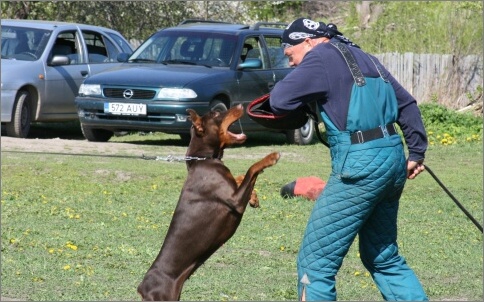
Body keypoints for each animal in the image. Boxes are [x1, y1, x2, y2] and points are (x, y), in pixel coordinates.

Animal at [136, 103, 280, 300]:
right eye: (217, 114)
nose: (240, 105)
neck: (203, 160)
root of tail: (142, 288)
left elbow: (240, 177)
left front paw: (254, 197)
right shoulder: (235, 201)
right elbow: (251, 169)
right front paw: (270, 158)